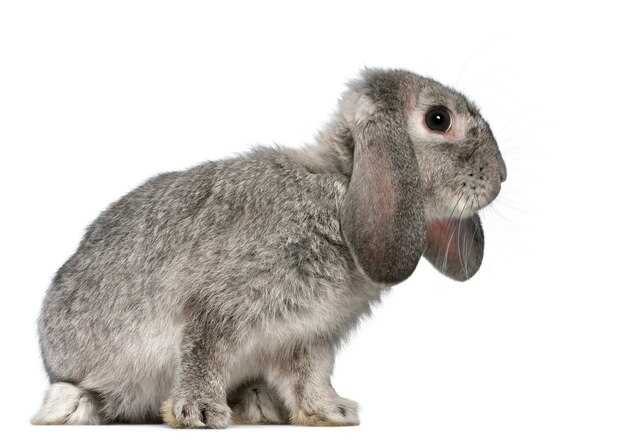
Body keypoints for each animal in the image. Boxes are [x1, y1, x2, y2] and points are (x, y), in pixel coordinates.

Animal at [31, 69, 504, 428]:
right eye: (438, 119)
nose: (501, 176)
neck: (340, 191)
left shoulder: (307, 336)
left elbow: (310, 377)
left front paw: (331, 413)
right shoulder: (223, 303)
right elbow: (202, 350)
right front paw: (199, 412)